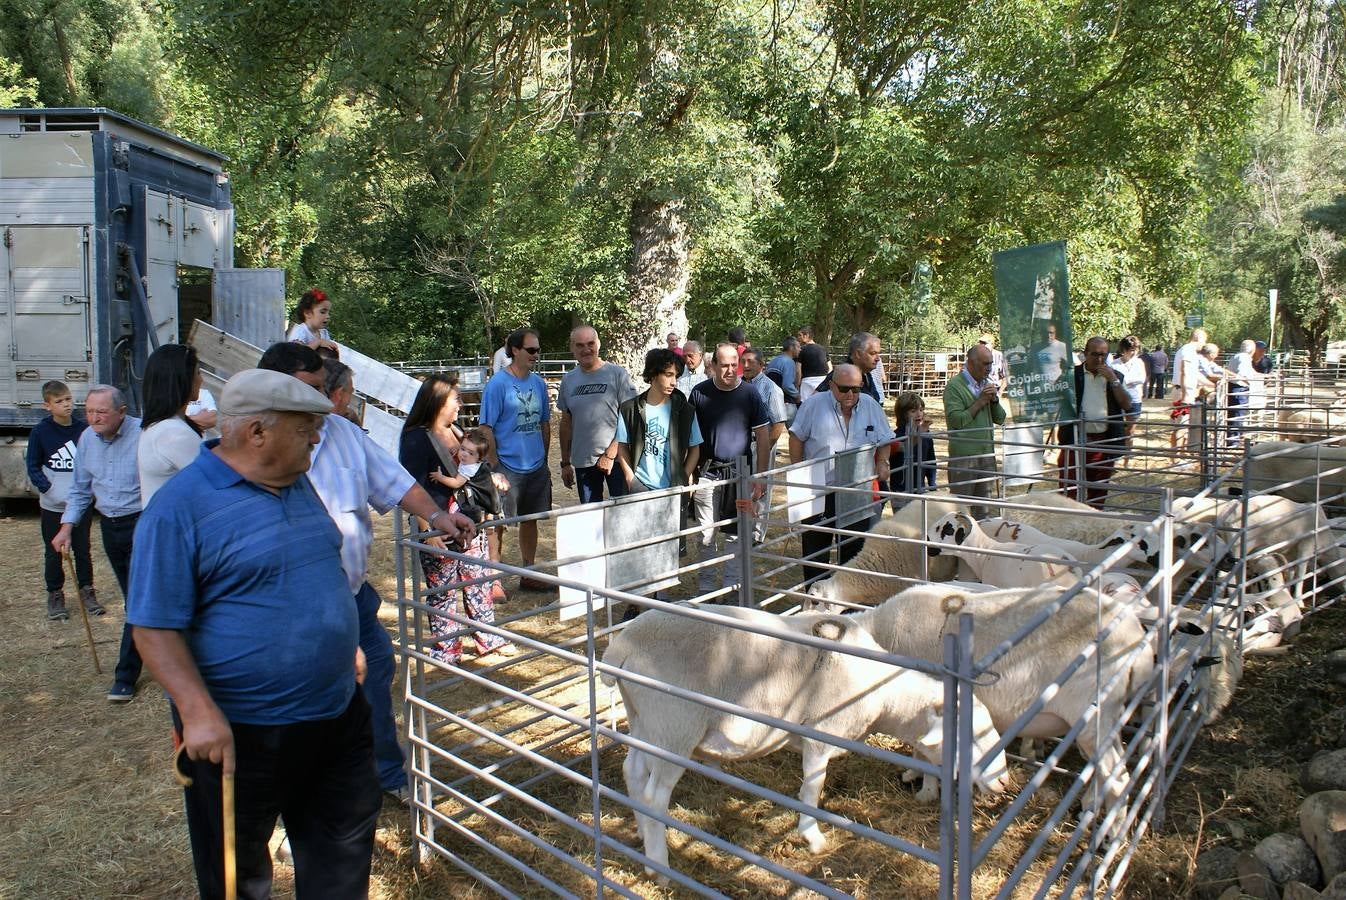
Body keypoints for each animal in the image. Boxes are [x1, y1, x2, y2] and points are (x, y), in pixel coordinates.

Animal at [603, 602, 1012, 871]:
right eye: (974, 735)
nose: (1005, 782)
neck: (878, 689)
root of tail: (622, 646)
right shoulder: (820, 734)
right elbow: (812, 790)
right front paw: (812, 837)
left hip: (645, 721)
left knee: (632, 774)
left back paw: (642, 835)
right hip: (674, 725)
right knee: (655, 797)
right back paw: (658, 863)